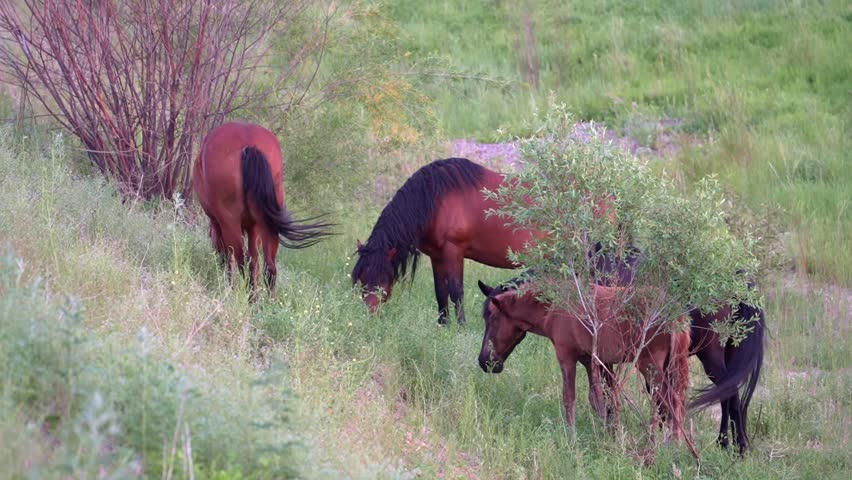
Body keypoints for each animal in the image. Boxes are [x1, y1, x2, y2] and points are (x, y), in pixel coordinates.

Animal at [193, 121, 331, 291]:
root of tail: (249, 145)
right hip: (268, 224)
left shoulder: (220, 224)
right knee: (268, 267)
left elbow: (229, 258)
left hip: (230, 222)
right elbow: (255, 263)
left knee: (242, 260)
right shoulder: (254, 228)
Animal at [351, 157, 537, 324]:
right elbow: (440, 291)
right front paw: (443, 325)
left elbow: (456, 291)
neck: (435, 199)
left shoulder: (453, 251)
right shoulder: (437, 256)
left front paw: (461, 327)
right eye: (362, 279)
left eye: (383, 279)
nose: (370, 315)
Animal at [477, 281, 694, 450]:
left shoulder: (566, 357)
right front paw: (608, 434)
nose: (484, 361)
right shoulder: (591, 362)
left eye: (493, 318)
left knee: (669, 401)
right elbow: (600, 400)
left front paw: (571, 435)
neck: (554, 307)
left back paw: (670, 445)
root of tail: (676, 314)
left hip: (651, 366)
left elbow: (569, 397)